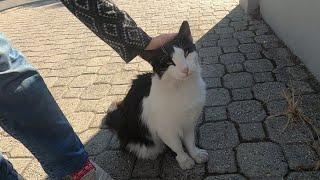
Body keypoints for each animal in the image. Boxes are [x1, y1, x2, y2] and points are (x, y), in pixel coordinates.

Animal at [105, 21, 208, 170]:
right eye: (169, 62)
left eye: (186, 52)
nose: (185, 69)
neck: (182, 88)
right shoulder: (165, 128)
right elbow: (177, 145)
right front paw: (184, 159)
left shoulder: (188, 121)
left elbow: (190, 141)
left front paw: (195, 154)